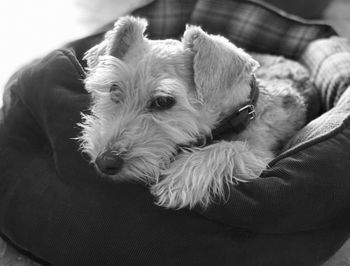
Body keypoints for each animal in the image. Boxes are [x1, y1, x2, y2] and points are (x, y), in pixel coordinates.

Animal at [78, 16, 306, 210]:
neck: (239, 113)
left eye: (163, 101)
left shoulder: (260, 154)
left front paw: (178, 181)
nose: (105, 162)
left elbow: (227, 148)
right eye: (113, 89)